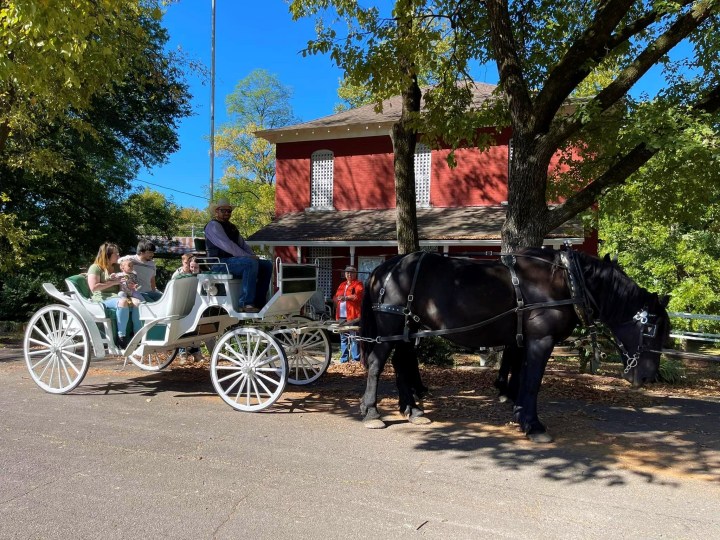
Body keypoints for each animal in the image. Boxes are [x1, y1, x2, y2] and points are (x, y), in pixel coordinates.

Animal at [358, 249, 668, 442]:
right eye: (652, 328)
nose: (648, 377)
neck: (565, 280)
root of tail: (385, 268)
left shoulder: (522, 342)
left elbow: (520, 377)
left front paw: (519, 415)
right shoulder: (541, 341)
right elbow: (532, 382)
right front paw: (534, 425)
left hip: (407, 329)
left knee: (401, 362)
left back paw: (413, 410)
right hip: (391, 326)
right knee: (376, 363)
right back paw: (372, 411)